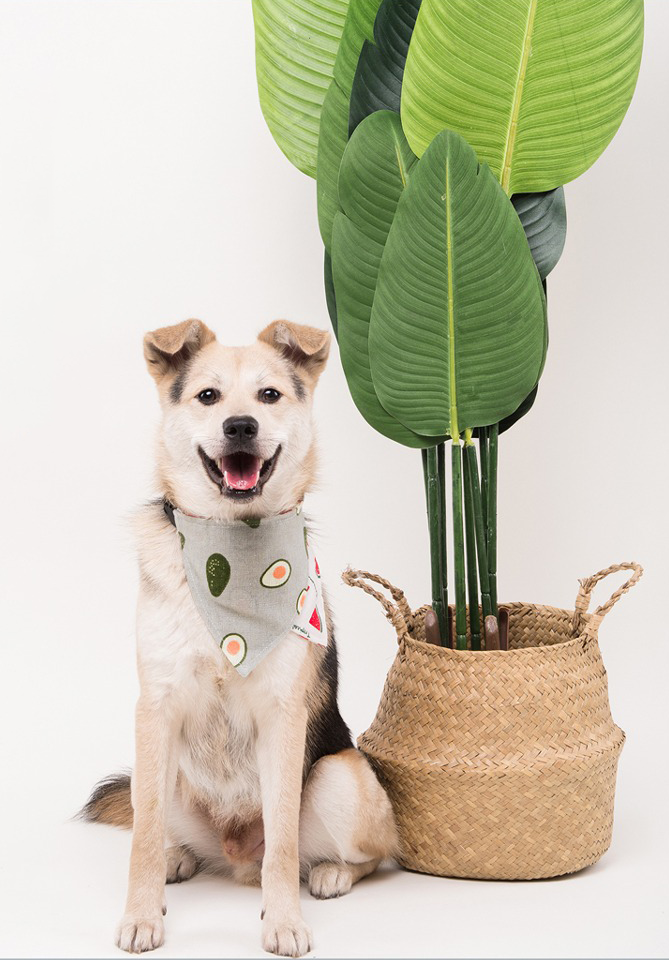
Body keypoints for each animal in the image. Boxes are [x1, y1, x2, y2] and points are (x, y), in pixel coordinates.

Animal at [81, 320, 400, 960]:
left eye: (269, 395)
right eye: (208, 396)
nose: (240, 427)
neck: (229, 553)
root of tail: (233, 856)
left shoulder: (282, 718)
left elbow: (283, 842)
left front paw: (283, 922)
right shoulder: (155, 710)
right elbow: (142, 838)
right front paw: (142, 914)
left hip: (340, 779)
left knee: (364, 855)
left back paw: (330, 873)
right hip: (163, 773)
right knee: (159, 825)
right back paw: (178, 859)